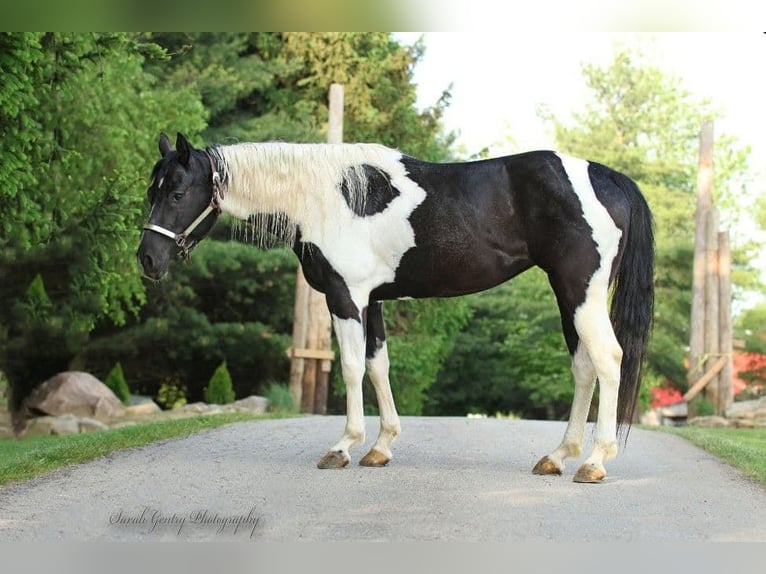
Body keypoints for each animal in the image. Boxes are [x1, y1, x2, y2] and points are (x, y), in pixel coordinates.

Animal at [137, 132, 654, 483]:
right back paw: (558, 456)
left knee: (608, 359)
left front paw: (344, 447)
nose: (147, 259)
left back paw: (594, 462)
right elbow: (377, 366)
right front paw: (381, 448)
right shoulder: (373, 303)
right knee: (584, 367)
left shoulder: (345, 298)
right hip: (569, 296)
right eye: (152, 190)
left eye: (177, 192)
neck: (327, 197)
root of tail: (605, 176)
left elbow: (350, 368)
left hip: (581, 292)